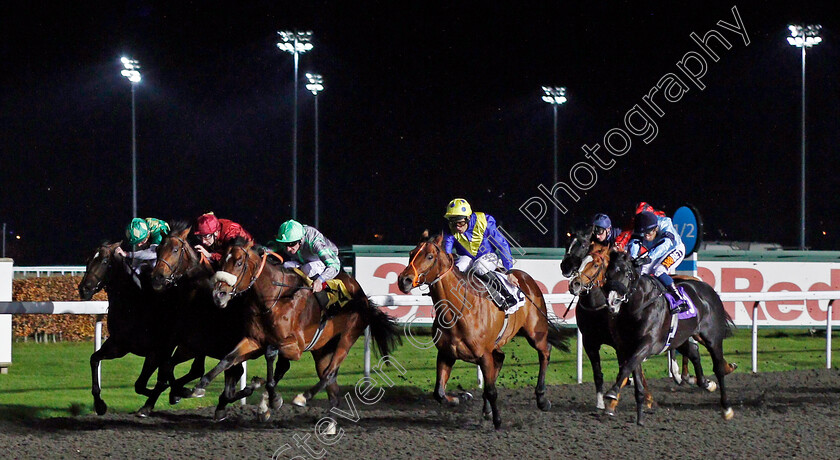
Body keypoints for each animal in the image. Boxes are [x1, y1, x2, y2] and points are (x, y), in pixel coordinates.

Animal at [190, 237, 400, 420]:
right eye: (221, 262)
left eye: (239, 262)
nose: (219, 294)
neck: (274, 298)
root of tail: (363, 296)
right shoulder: (253, 340)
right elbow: (228, 358)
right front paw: (201, 385)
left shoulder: (295, 346)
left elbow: (271, 355)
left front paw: (273, 398)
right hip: (322, 349)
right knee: (332, 386)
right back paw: (329, 425)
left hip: (348, 337)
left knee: (330, 372)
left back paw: (303, 397)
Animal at [398, 232, 576, 430]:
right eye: (411, 253)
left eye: (429, 256)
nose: (404, 280)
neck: (458, 311)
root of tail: (525, 278)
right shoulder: (446, 353)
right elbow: (439, 393)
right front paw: (459, 398)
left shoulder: (483, 354)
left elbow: (491, 390)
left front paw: (497, 420)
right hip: (497, 345)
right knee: (500, 358)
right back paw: (487, 408)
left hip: (535, 332)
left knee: (545, 351)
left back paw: (542, 399)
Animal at [604, 250, 736, 426]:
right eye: (607, 274)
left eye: (626, 273)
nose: (612, 302)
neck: (639, 306)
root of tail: (708, 289)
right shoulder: (629, 347)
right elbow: (634, 376)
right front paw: (640, 418)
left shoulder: (646, 344)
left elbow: (626, 368)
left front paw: (612, 392)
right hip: (680, 337)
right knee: (694, 352)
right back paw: (706, 383)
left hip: (712, 338)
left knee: (719, 368)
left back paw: (726, 408)